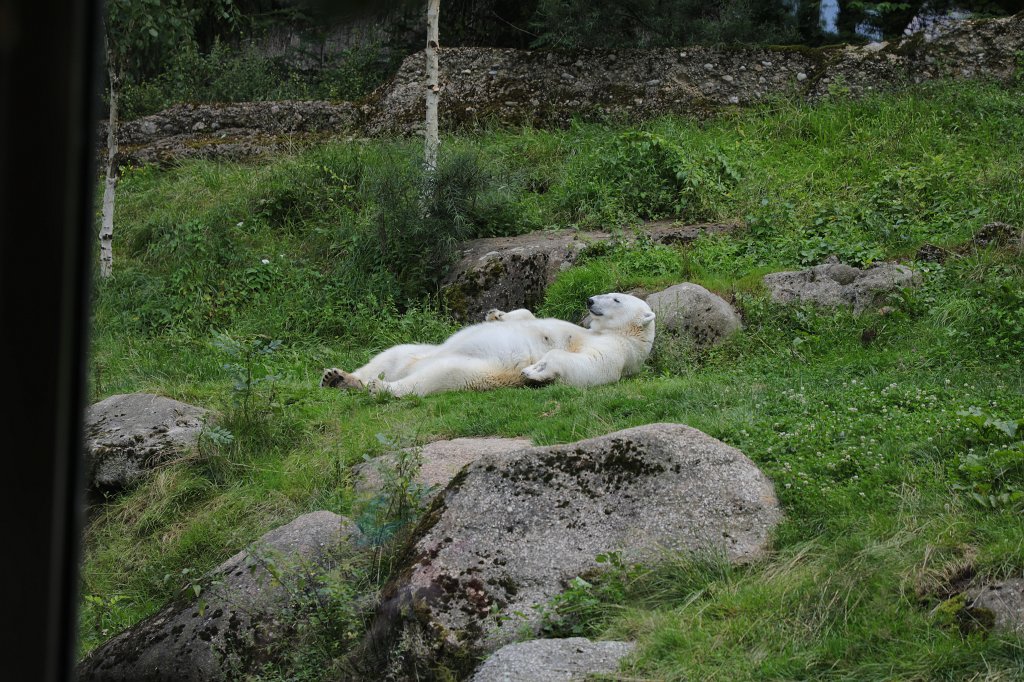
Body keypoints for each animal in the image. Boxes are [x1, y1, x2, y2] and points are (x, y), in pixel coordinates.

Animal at [319, 293, 656, 398]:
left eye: (616, 299)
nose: (589, 300)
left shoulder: (618, 352)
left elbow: (589, 366)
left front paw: (536, 369)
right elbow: (530, 315)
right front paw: (496, 314)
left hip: (474, 370)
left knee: (435, 376)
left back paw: (378, 386)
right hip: (416, 351)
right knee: (389, 355)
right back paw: (338, 377)